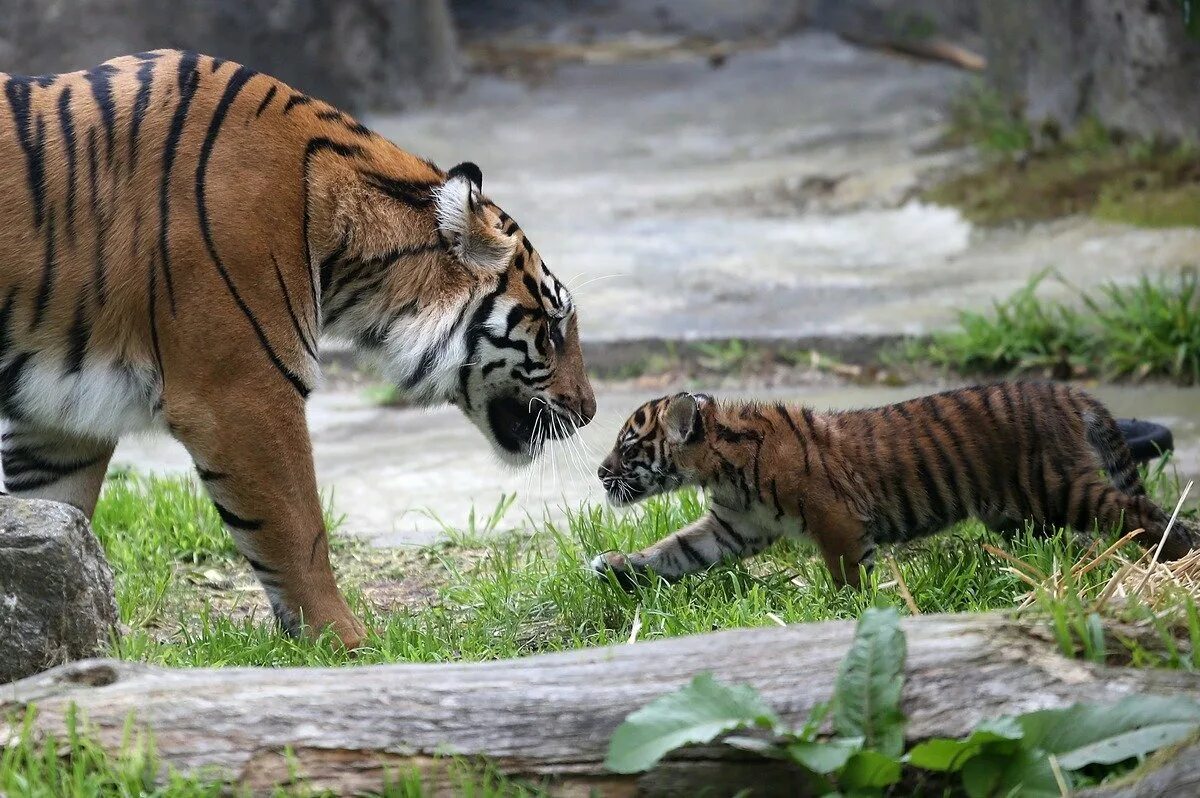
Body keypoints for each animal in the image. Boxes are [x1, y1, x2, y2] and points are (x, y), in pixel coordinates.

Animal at [0, 49, 595, 648]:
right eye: (554, 327)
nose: (590, 411)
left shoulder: (61, 419)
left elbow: (60, 535)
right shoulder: (243, 393)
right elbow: (299, 530)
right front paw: (349, 642)